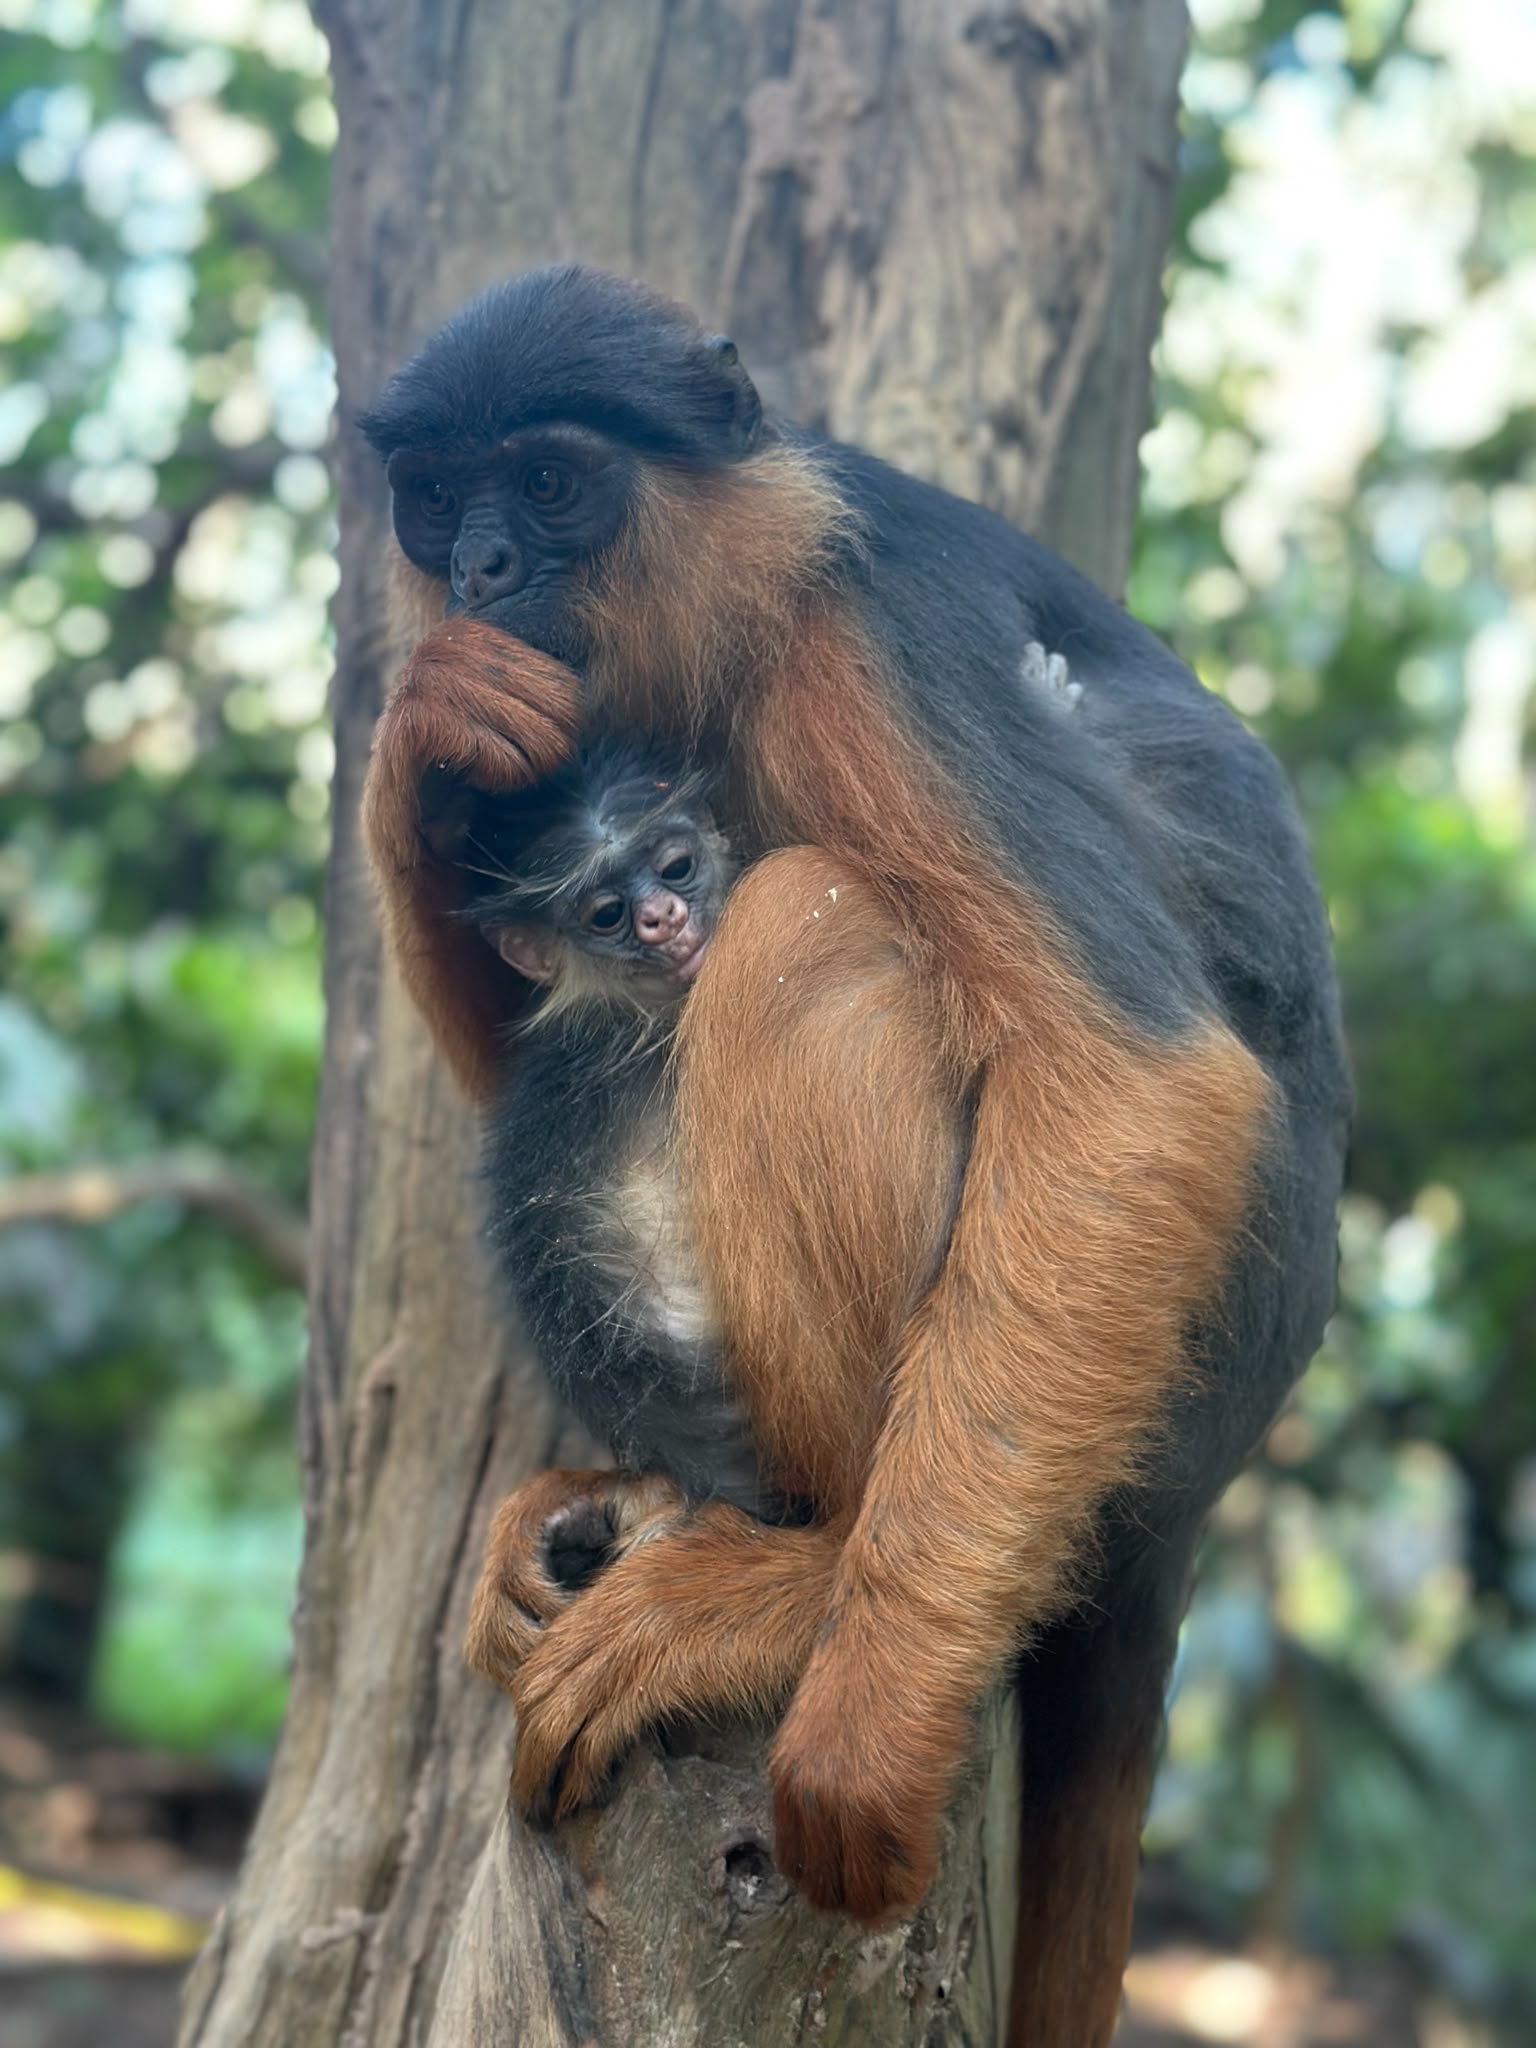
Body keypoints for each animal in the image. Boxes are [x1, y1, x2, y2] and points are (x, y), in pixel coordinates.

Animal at [358, 266, 1351, 2045]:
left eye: (544, 483)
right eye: (437, 496)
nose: (478, 575)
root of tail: (1200, 1489)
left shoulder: (867, 651)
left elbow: (1138, 1078)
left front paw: (868, 1714)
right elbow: (509, 1050)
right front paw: (421, 734)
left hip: (1170, 1377)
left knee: (811, 926)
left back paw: (809, 1582)